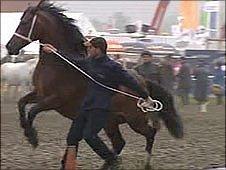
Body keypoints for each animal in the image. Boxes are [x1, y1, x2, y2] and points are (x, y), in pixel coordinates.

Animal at [6, 0, 184, 165]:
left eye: (25, 22)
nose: (9, 47)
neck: (61, 65)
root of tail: (143, 82)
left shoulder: (54, 100)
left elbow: (32, 111)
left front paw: (32, 138)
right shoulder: (39, 93)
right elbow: (21, 103)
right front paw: (26, 130)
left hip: (135, 121)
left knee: (150, 133)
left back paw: (145, 162)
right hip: (110, 122)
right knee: (119, 143)